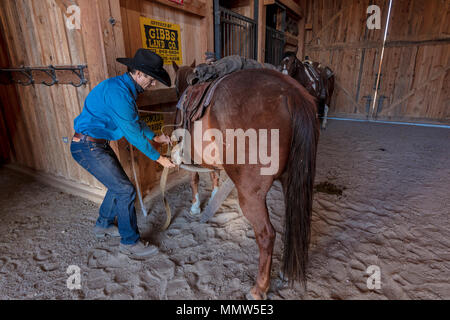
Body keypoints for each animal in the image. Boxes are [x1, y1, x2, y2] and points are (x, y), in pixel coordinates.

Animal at [171, 61, 318, 298]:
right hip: (291, 184)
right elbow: (214, 174)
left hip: (250, 196)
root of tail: (291, 93)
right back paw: (286, 273)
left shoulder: (190, 157)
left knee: (267, 235)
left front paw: (194, 207)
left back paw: (259, 288)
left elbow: (194, 178)